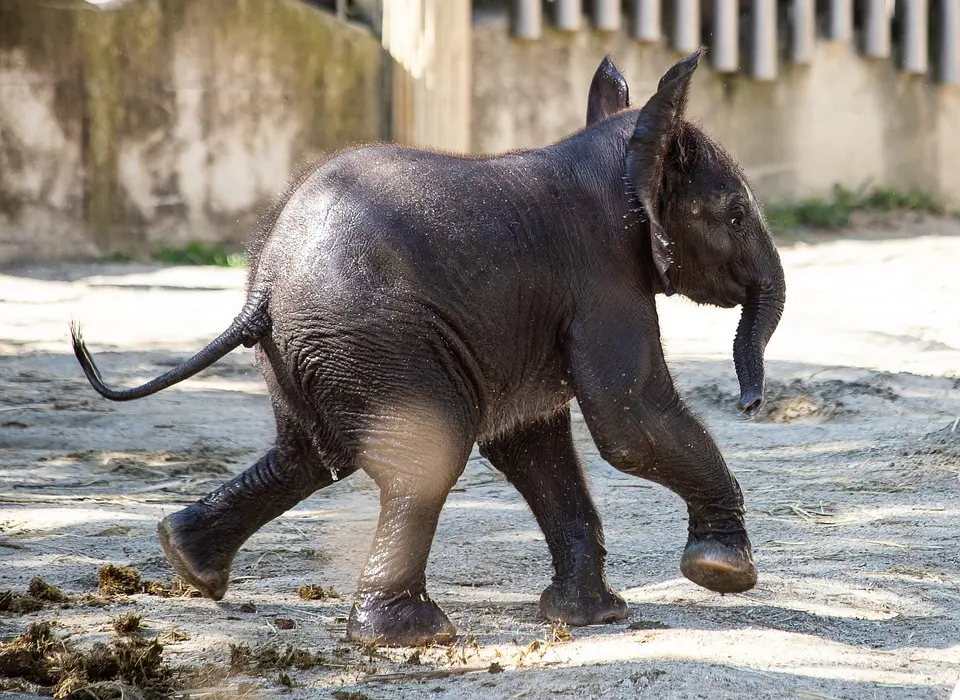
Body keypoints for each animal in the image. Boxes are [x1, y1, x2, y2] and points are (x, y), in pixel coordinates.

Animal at [71, 50, 784, 652]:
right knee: (425, 456)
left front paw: (591, 618)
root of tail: (265, 286)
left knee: (308, 455)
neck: (624, 151)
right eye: (735, 214)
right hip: (372, 338)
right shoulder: (602, 277)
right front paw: (722, 571)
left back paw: (188, 562)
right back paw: (412, 636)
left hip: (312, 350)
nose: (751, 404)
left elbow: (532, 439)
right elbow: (628, 420)